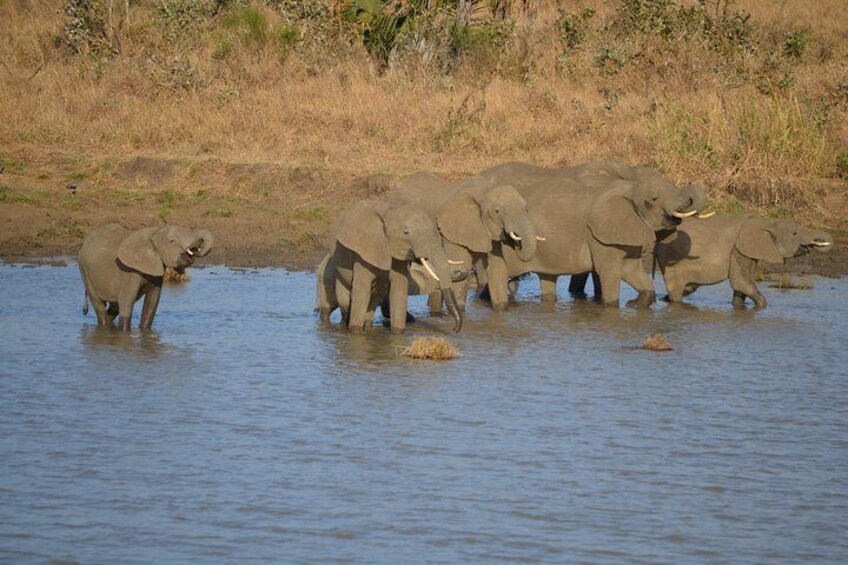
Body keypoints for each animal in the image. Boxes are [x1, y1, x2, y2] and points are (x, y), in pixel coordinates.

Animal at [79, 224, 214, 330]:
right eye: (172, 241)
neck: (155, 234)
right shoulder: (129, 272)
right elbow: (126, 302)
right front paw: (125, 334)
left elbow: (152, 303)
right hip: (85, 270)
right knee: (99, 305)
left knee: (114, 308)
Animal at [316, 198, 464, 332]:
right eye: (406, 233)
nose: (455, 329)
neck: (389, 212)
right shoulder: (363, 252)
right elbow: (362, 293)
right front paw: (355, 333)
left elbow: (398, 293)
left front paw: (397, 334)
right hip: (330, 272)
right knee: (339, 305)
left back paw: (368, 327)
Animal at [386, 173, 544, 312]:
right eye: (497, 211)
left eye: (526, 208)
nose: (515, 239)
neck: (484, 191)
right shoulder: (453, 229)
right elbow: (464, 266)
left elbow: (498, 269)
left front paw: (501, 311)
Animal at [652, 214, 832, 306]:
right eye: (794, 233)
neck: (768, 223)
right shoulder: (738, 249)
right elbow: (741, 283)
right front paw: (762, 307)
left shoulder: (747, 252)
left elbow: (740, 289)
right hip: (671, 259)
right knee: (677, 290)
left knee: (688, 288)